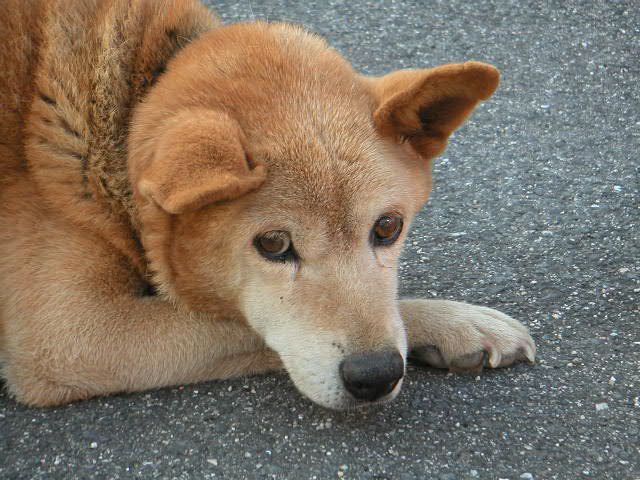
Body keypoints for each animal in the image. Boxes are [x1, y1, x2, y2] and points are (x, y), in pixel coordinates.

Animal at [1, 0, 536, 408]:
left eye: (387, 228)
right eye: (274, 244)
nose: (376, 374)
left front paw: (456, 327)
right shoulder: (74, 338)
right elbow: (240, 326)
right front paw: (449, 322)